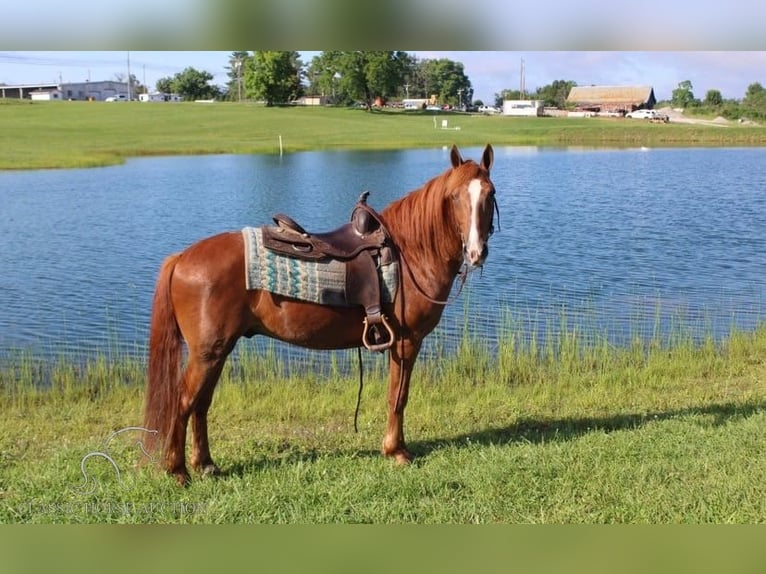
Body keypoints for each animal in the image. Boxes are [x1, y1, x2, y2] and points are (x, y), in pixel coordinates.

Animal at [146, 145, 498, 486]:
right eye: (454, 196)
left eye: (490, 193)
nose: (476, 252)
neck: (410, 254)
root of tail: (182, 258)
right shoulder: (406, 342)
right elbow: (397, 397)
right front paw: (396, 451)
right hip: (207, 353)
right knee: (183, 403)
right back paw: (178, 471)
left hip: (217, 351)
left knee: (201, 404)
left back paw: (205, 464)